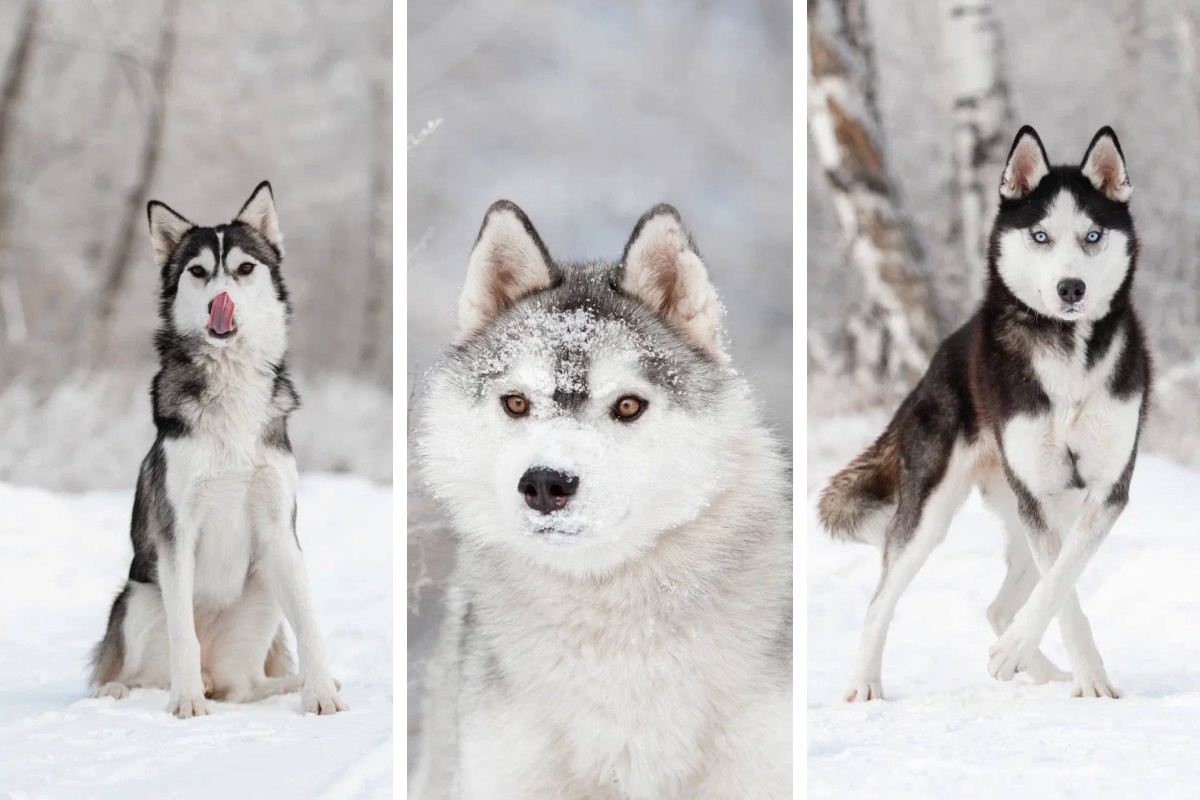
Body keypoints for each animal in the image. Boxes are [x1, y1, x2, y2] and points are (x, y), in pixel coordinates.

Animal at [88, 183, 348, 719]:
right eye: (198, 272)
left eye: (245, 269)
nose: (218, 302)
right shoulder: (176, 531)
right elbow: (182, 634)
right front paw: (186, 702)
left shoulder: (280, 530)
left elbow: (310, 623)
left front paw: (321, 693)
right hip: (138, 597)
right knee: (140, 673)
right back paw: (124, 690)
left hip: (264, 589)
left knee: (243, 686)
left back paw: (283, 684)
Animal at [820, 125, 1147, 700]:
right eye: (1040, 236)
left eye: (1092, 236)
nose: (1071, 288)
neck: (1067, 351)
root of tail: (935, 364)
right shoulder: (1039, 494)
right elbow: (1062, 590)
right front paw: (1086, 678)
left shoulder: (1107, 490)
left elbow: (1062, 578)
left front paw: (1063, 670)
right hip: (931, 514)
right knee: (881, 600)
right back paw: (864, 685)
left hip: (1042, 509)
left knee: (999, 607)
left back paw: (1033, 666)